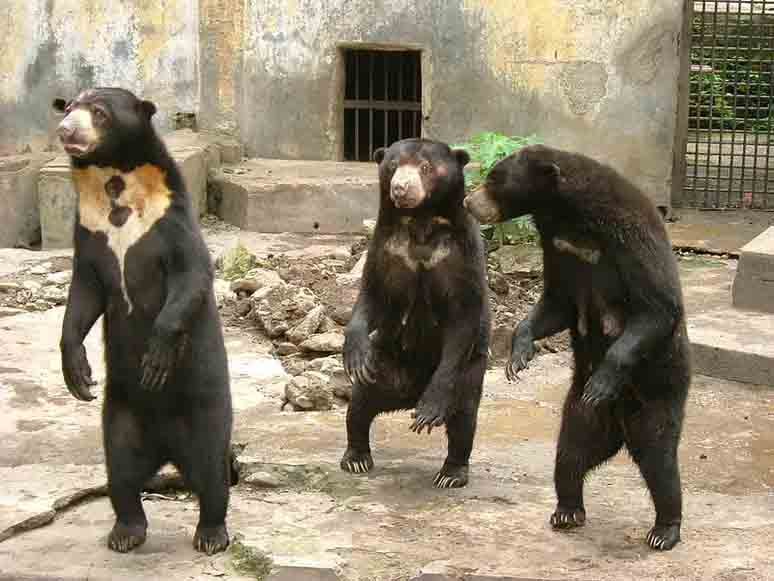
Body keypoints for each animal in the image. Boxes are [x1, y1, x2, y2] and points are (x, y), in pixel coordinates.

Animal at [53, 88, 233, 555]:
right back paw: (126, 532)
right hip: (121, 415)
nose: (65, 130)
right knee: (121, 473)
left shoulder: (169, 220)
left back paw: (211, 535)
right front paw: (78, 374)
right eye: (68, 107)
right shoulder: (89, 229)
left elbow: (191, 277)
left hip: (206, 409)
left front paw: (154, 359)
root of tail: (167, 449)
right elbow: (83, 293)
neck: (115, 182)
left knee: (213, 472)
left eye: (99, 112)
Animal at [341, 138, 491, 489]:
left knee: (464, 418)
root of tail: (409, 392)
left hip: (470, 373)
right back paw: (356, 457)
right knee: (358, 406)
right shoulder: (385, 246)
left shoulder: (461, 253)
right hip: (384, 363)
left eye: (425, 167)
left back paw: (451, 472)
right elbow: (372, 293)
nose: (400, 188)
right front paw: (354, 356)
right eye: (393, 165)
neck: (421, 222)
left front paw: (430, 410)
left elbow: (464, 315)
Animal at [464, 144, 691, 550]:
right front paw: (517, 356)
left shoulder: (629, 237)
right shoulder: (558, 248)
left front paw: (603, 379)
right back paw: (567, 510)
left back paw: (664, 530)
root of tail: (619, 429)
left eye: (494, 178)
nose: (468, 201)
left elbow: (656, 307)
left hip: (659, 394)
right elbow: (558, 302)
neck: (570, 217)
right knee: (570, 453)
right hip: (581, 415)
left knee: (659, 459)